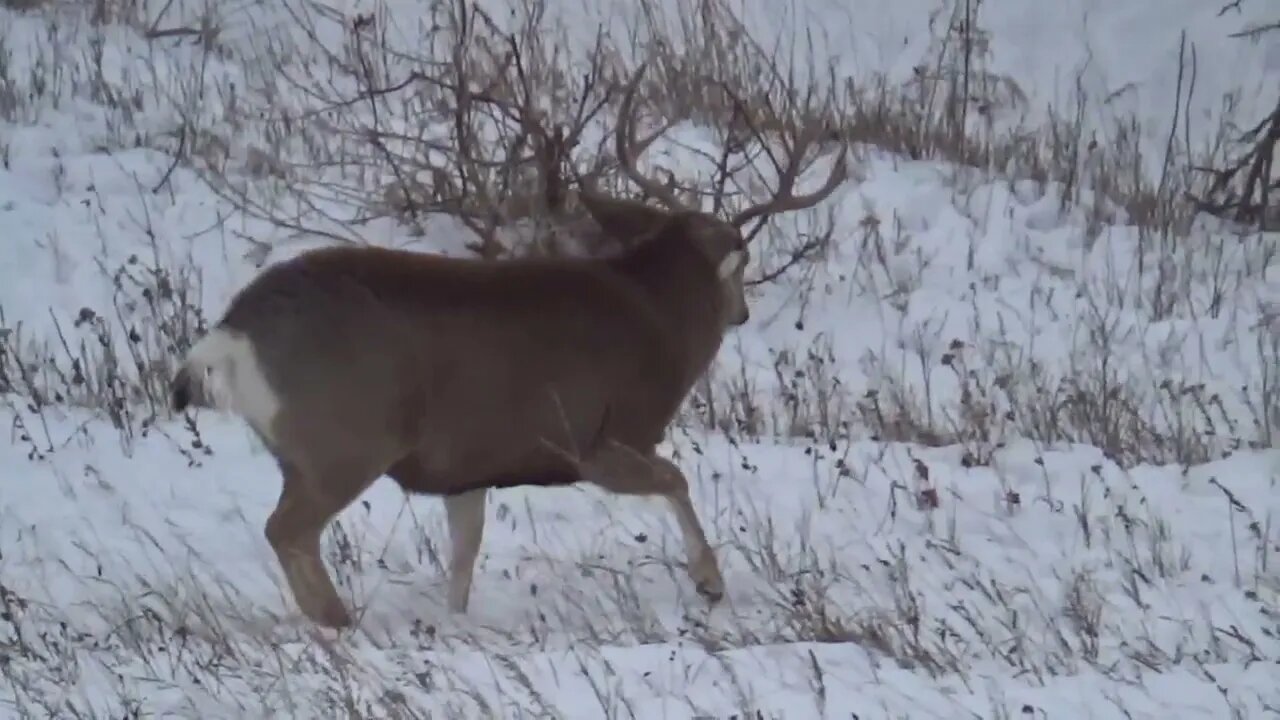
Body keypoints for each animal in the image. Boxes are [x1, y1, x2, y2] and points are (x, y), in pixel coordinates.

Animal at [170, 63, 849, 622]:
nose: (742, 312)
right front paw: (710, 582)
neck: (661, 318)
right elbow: (675, 478)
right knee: (286, 530)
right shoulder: (593, 439)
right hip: (349, 438)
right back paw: (340, 624)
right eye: (743, 264)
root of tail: (232, 334)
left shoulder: (466, 467)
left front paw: (454, 625)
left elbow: (463, 559)